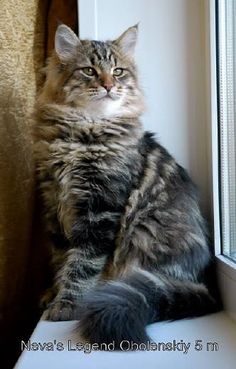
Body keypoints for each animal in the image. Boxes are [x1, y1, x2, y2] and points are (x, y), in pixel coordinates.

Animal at [34, 24, 220, 346]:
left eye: (118, 71)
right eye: (89, 70)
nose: (109, 85)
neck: (85, 130)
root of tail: (201, 283)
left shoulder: (99, 209)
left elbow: (82, 264)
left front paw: (66, 304)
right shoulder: (54, 203)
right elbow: (60, 259)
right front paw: (53, 293)